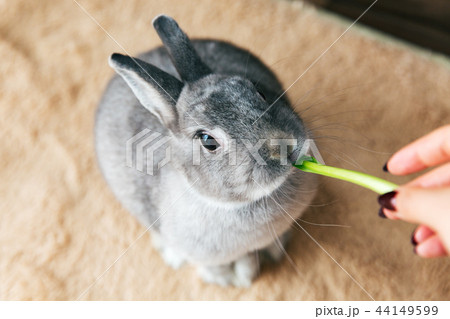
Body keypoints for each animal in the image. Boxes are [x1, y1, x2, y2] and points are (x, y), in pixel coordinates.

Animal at [96, 15, 316, 288]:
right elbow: (214, 265)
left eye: (259, 92)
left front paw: (259, 263)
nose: (284, 146)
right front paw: (231, 279)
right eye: (208, 141)